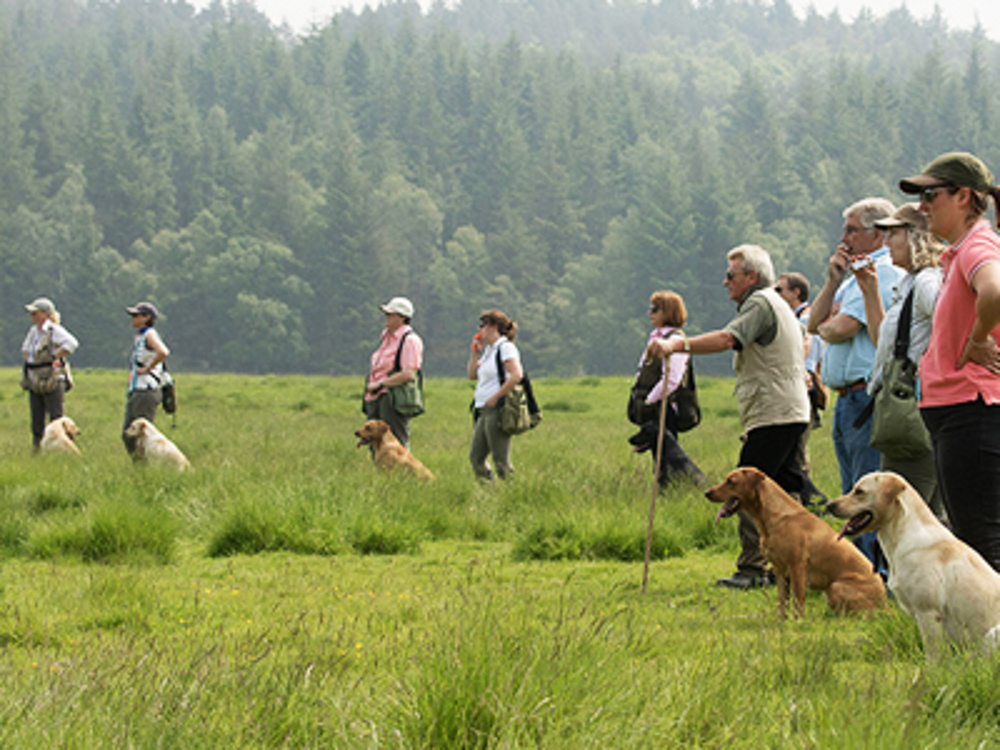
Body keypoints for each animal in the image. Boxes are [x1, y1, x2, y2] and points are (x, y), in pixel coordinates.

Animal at [708, 470, 888, 624]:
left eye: (730, 482)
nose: (706, 493)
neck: (775, 518)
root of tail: (886, 605)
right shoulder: (780, 570)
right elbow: (782, 601)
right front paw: (781, 622)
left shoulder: (797, 566)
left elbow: (798, 599)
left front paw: (798, 622)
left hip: (835, 587)